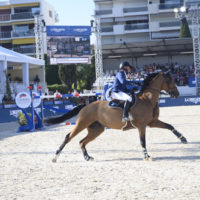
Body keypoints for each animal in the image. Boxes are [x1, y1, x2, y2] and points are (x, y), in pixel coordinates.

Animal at [45, 72, 188, 162]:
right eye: (169, 80)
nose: (177, 94)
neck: (147, 100)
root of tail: (85, 105)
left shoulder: (153, 122)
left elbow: (170, 126)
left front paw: (183, 138)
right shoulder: (142, 126)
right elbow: (143, 141)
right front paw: (146, 156)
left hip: (96, 129)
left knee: (82, 142)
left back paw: (87, 157)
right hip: (81, 124)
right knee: (68, 137)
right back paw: (55, 157)